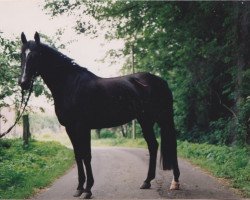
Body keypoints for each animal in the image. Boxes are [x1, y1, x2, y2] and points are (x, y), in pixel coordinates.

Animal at [19, 32, 180, 198]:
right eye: (21, 55)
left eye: (36, 55)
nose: (23, 83)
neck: (71, 86)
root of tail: (160, 81)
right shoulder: (70, 128)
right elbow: (78, 155)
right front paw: (79, 188)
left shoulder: (82, 127)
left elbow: (86, 155)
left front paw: (88, 189)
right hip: (145, 120)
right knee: (153, 146)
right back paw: (147, 181)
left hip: (162, 118)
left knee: (170, 144)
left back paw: (175, 182)